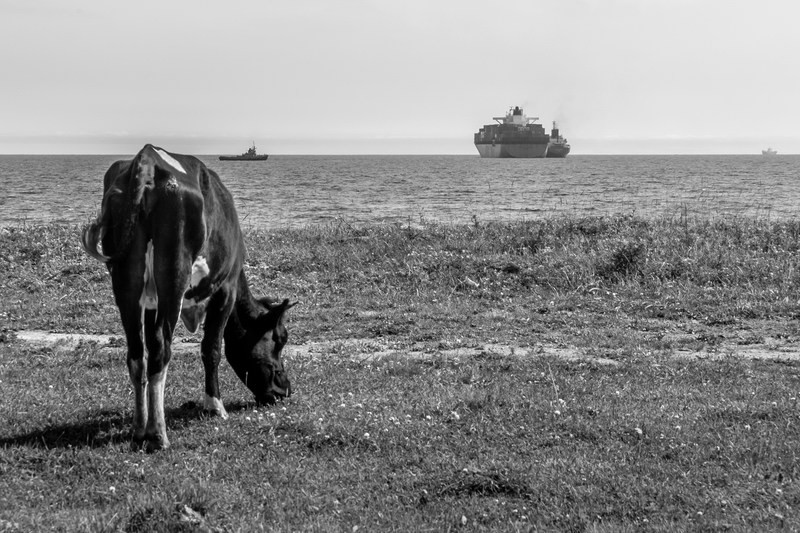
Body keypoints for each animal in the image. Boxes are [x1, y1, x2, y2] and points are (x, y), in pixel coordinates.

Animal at [83, 144, 296, 448]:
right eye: (280, 339)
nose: (285, 390)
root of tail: (146, 160)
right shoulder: (225, 288)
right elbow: (212, 348)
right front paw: (215, 406)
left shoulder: (151, 302)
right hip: (174, 275)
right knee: (161, 349)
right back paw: (158, 435)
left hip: (127, 282)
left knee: (137, 353)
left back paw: (139, 429)